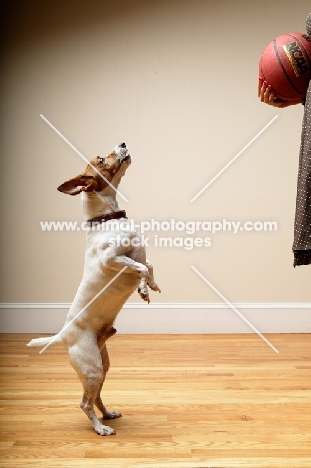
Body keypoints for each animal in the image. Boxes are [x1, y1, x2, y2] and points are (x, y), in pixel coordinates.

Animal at [27, 142, 161, 436]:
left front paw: (151, 286)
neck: (106, 219)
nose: (123, 143)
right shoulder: (111, 259)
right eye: (100, 159)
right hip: (91, 368)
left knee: (96, 396)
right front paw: (144, 289)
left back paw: (108, 414)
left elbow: (148, 265)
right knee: (84, 403)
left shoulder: (137, 256)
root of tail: (63, 336)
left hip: (103, 366)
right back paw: (101, 428)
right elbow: (140, 267)